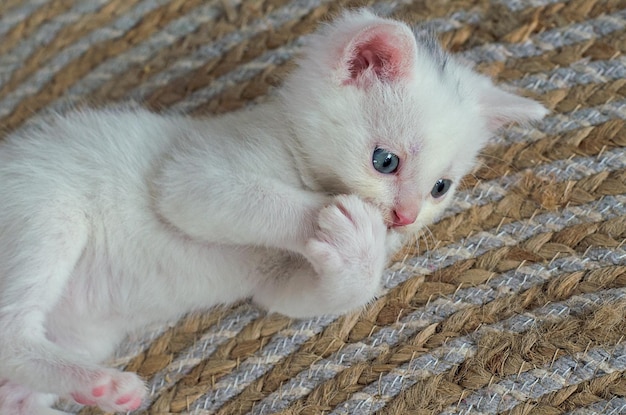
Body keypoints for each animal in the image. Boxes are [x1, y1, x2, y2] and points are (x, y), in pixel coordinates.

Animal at [0, 9, 544, 415]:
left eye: (440, 188)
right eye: (385, 161)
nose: (405, 217)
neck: (296, 154)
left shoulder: (276, 283)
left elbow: (325, 294)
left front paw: (362, 255)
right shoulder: (191, 173)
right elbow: (237, 197)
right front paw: (352, 225)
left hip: (84, 332)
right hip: (46, 211)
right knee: (10, 333)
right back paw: (106, 385)